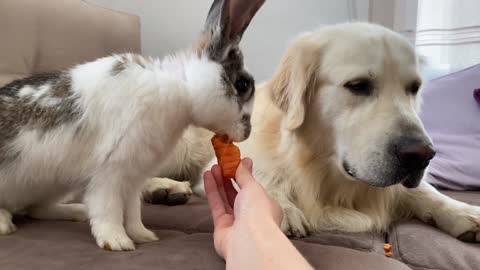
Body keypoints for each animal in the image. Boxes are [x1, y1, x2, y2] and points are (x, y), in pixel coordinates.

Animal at [0, 0, 264, 251]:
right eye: (242, 85)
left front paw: (143, 235)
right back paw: (5, 224)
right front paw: (117, 242)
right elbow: (107, 210)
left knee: (36, 209)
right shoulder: (108, 172)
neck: (181, 88)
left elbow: (133, 211)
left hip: (51, 184)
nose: (247, 132)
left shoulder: (133, 177)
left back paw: (76, 212)